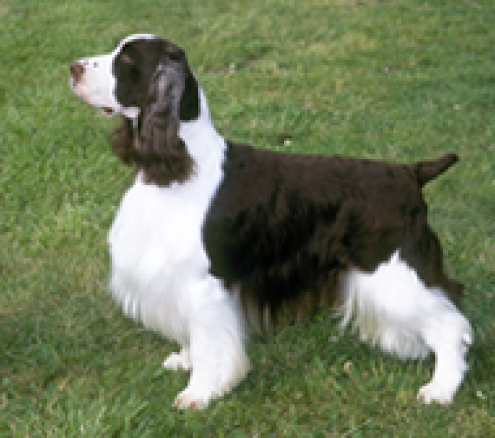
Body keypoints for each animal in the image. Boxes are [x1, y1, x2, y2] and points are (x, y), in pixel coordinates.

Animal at [70, 35, 472, 410]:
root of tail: (411, 173)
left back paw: (440, 389)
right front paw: (184, 361)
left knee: (452, 325)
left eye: (126, 59)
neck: (177, 168)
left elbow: (207, 342)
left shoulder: (202, 284)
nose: (73, 68)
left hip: (393, 271)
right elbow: (190, 334)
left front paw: (199, 392)